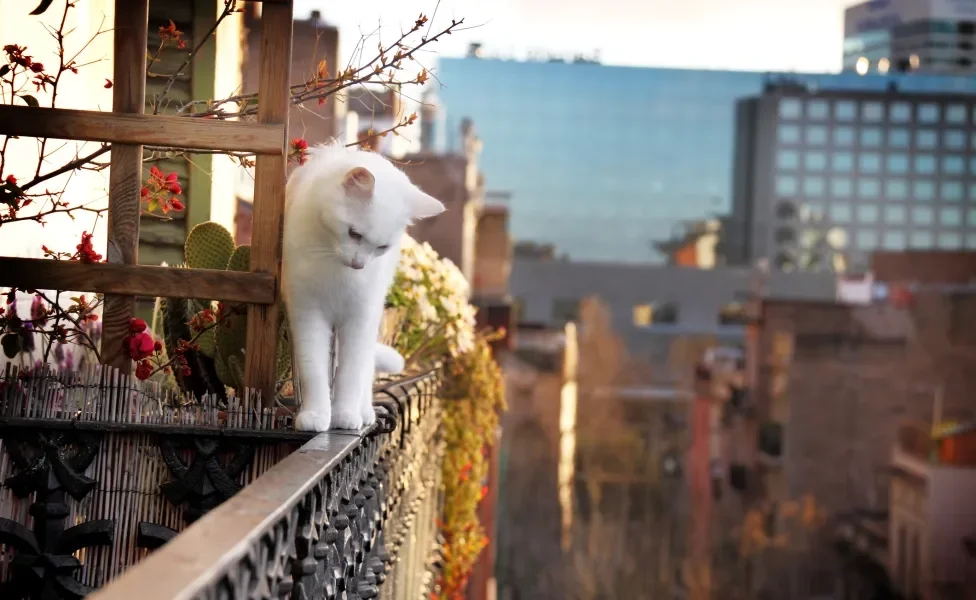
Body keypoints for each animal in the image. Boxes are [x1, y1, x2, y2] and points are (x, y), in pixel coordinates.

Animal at [280, 142, 444, 432]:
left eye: (382, 247)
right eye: (354, 234)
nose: (358, 265)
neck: (336, 270)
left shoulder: (360, 317)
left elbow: (351, 372)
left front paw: (345, 414)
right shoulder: (307, 312)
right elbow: (314, 368)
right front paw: (316, 414)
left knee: (365, 370)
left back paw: (364, 411)